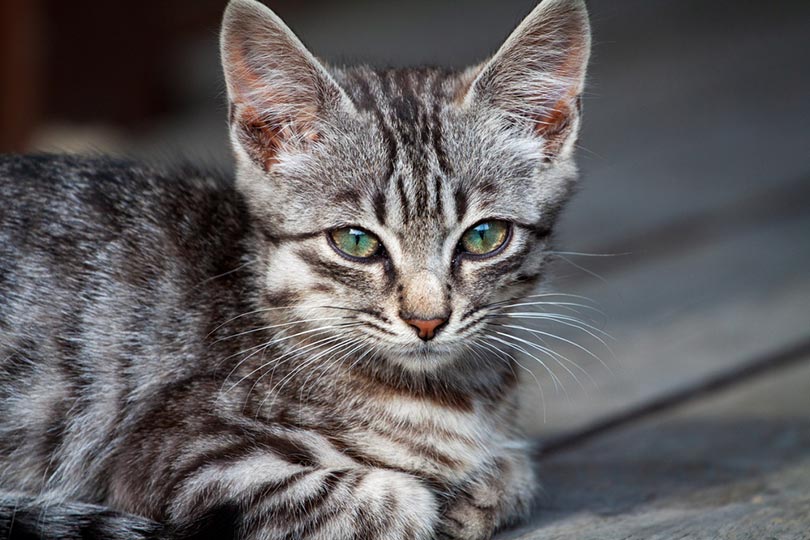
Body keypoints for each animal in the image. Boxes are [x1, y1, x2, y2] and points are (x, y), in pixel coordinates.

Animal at [0, 1, 588, 540]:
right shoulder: (182, 458)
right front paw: (445, 497)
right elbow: (400, 501)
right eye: (355, 242)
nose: (427, 320)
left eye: (484, 237)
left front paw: (480, 489)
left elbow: (513, 472)